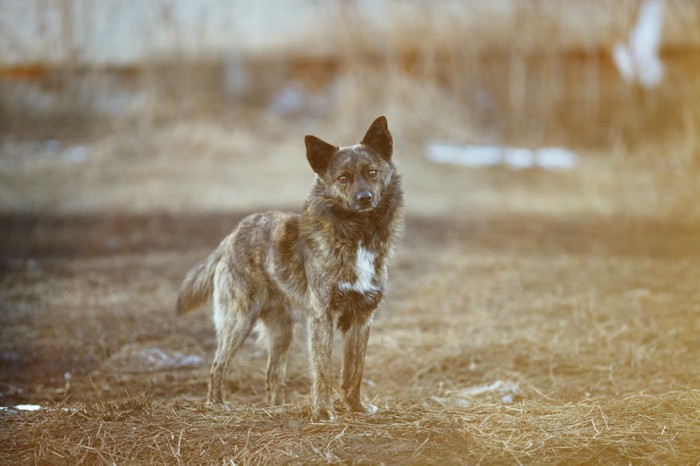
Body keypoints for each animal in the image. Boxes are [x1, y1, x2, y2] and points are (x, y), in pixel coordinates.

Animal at [176, 116, 404, 422]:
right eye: (343, 178)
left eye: (373, 172)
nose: (365, 198)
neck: (357, 235)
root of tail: (233, 234)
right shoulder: (322, 318)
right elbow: (323, 372)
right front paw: (323, 411)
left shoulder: (362, 317)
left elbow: (354, 371)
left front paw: (356, 407)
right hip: (239, 320)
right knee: (217, 366)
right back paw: (217, 405)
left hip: (281, 333)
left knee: (272, 375)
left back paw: (277, 408)